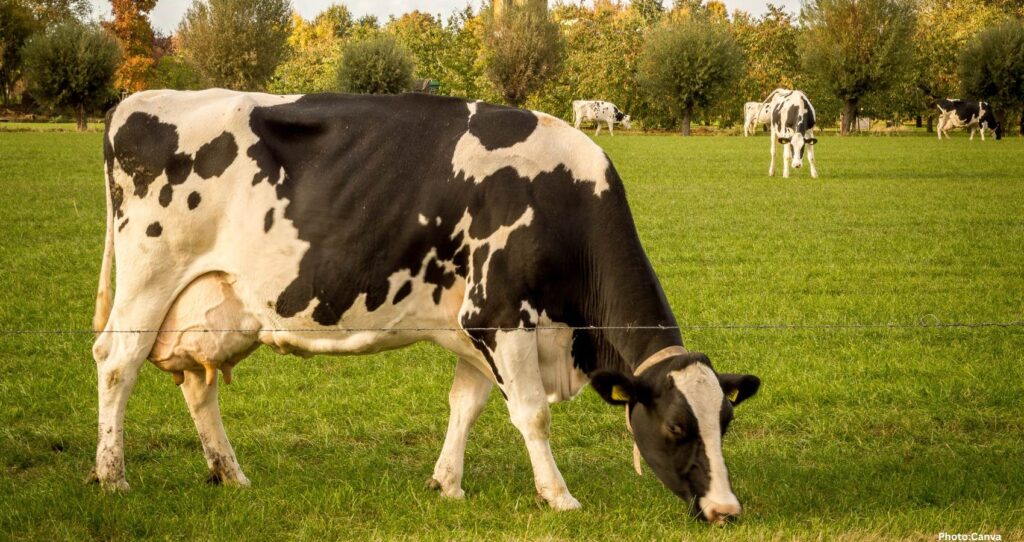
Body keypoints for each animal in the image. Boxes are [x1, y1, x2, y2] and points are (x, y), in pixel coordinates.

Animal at [89, 89, 761, 524]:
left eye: (724, 423)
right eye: (676, 428)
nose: (726, 510)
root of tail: (133, 102)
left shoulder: (474, 330)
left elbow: (466, 404)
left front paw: (448, 485)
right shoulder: (501, 314)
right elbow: (533, 415)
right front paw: (558, 496)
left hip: (212, 302)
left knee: (198, 384)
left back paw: (231, 474)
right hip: (149, 277)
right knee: (117, 364)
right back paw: (112, 477)